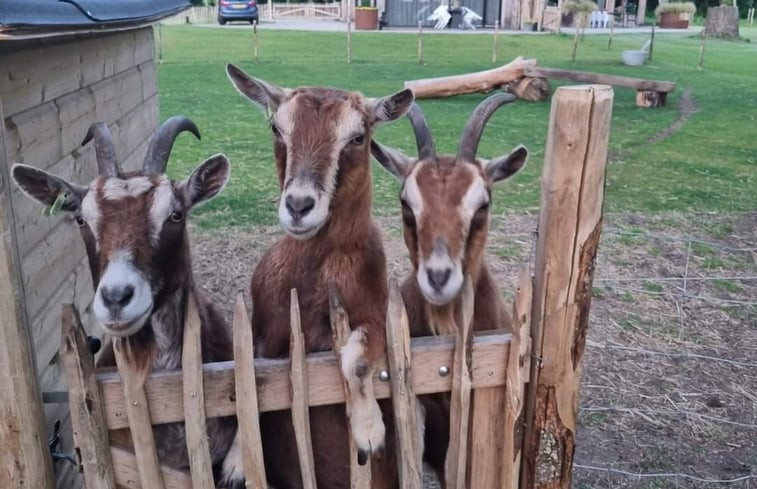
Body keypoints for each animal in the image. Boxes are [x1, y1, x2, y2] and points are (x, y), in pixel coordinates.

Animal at [223, 65, 414, 488]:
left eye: (358, 137)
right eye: (276, 128)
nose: (298, 206)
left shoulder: (377, 315)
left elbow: (355, 361)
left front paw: (369, 432)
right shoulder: (261, 331)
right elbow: (250, 380)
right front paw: (236, 462)